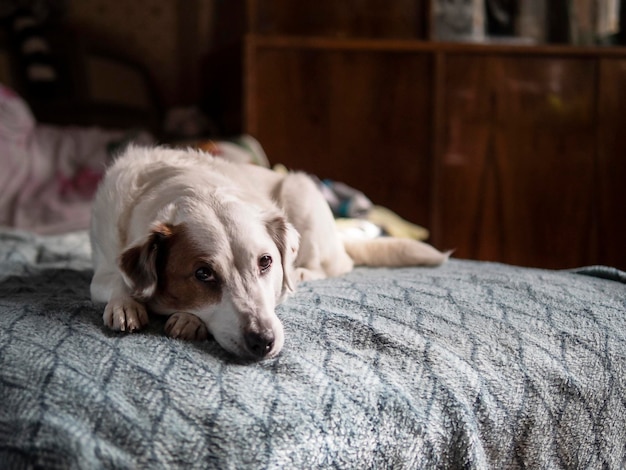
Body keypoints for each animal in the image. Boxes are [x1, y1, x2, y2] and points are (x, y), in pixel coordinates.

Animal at [89, 147, 448, 360]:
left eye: (265, 262)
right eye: (203, 273)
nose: (263, 341)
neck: (187, 185)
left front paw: (189, 319)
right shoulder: (103, 268)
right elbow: (118, 281)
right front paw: (125, 304)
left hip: (300, 190)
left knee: (329, 266)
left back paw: (302, 272)